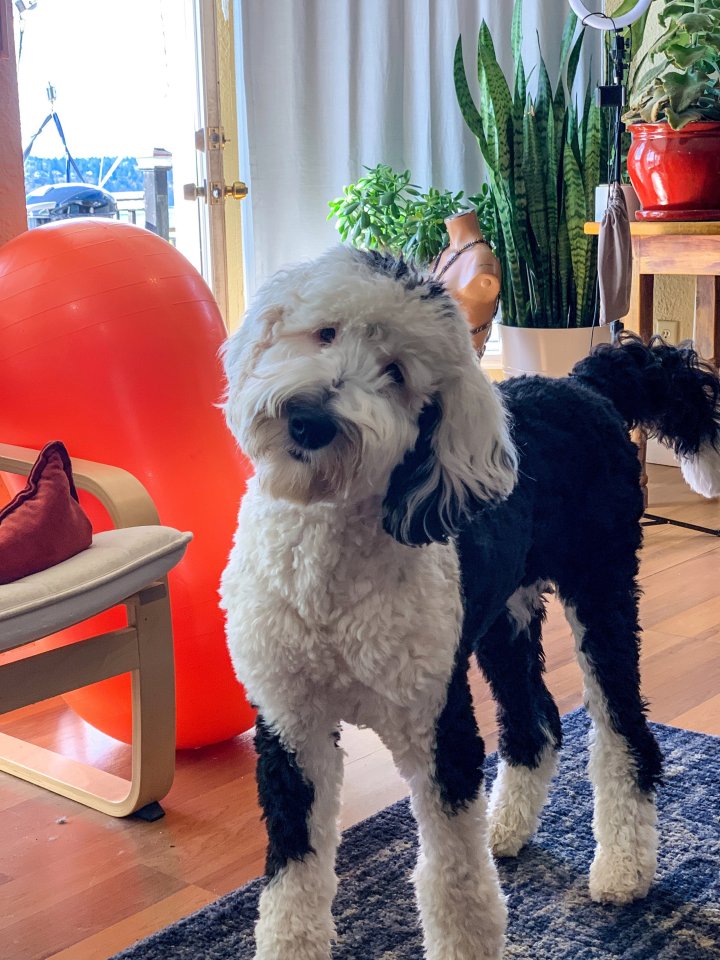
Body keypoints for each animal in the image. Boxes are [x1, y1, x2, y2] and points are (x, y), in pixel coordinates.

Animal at [219, 249, 720, 960]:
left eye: (397, 374)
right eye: (324, 333)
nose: (311, 420)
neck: (328, 573)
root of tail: (580, 384)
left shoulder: (438, 732)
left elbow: (454, 886)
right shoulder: (293, 730)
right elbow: (293, 883)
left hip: (601, 592)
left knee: (624, 733)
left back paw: (623, 866)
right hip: (503, 619)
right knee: (536, 723)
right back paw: (505, 828)